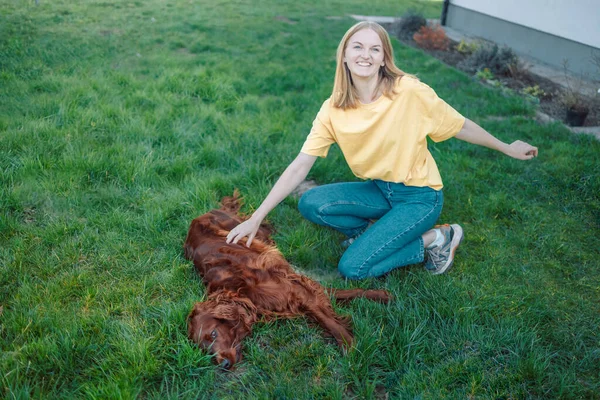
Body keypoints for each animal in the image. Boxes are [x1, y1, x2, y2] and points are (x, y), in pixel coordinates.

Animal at [184, 192, 390, 370]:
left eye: (213, 333)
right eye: (205, 350)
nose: (224, 365)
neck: (239, 291)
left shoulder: (295, 289)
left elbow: (329, 321)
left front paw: (351, 347)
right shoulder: (298, 288)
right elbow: (330, 294)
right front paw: (381, 295)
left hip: (247, 229)